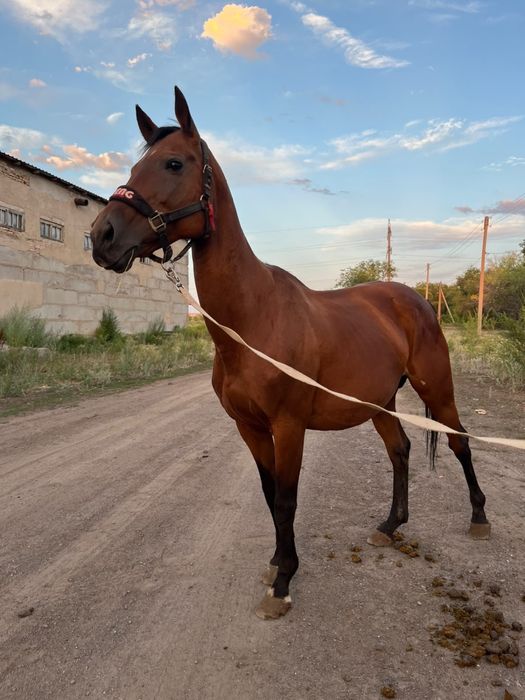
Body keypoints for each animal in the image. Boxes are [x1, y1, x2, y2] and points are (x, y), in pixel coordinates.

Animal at [90, 86, 490, 619]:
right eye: (135, 167)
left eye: (174, 163)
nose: (102, 236)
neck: (253, 320)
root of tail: (414, 300)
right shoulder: (250, 427)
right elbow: (268, 494)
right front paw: (278, 562)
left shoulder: (289, 425)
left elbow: (286, 499)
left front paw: (282, 584)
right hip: (380, 401)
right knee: (401, 450)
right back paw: (390, 526)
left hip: (437, 389)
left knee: (459, 442)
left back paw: (479, 518)